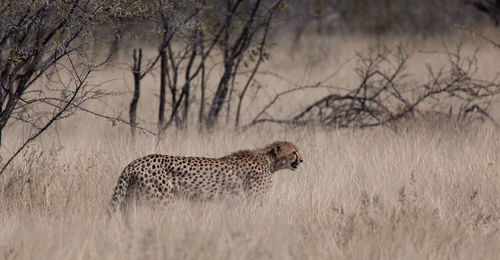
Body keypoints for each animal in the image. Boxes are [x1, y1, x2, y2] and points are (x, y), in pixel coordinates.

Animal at [109, 140, 302, 211]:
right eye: (294, 152)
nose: (302, 160)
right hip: (162, 200)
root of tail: (134, 163)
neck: (270, 161)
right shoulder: (252, 201)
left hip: (131, 200)